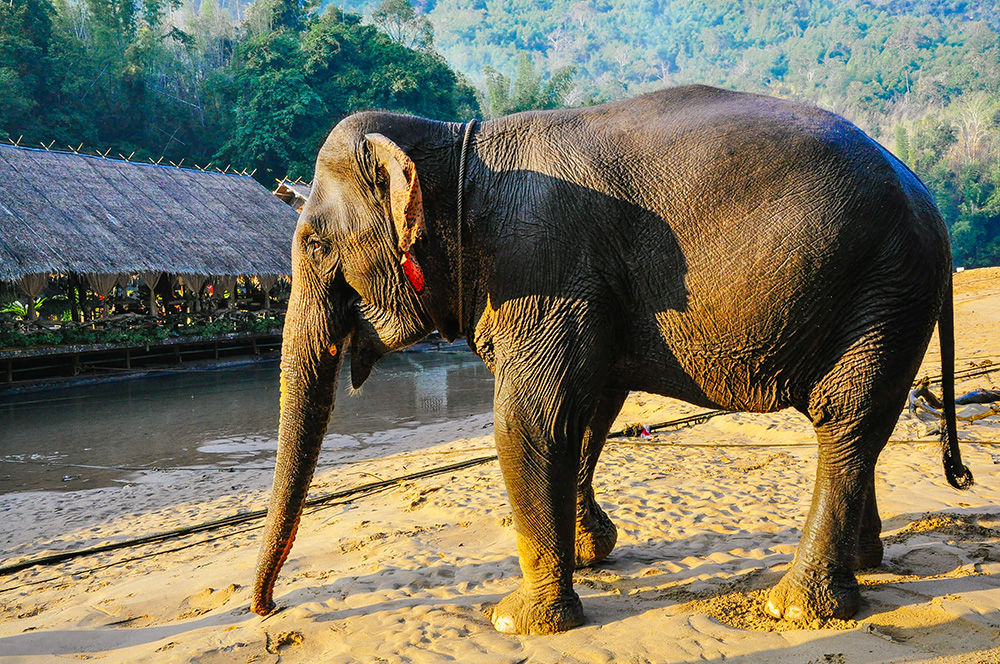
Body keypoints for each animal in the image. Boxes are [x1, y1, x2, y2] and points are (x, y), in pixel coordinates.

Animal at [246, 85, 972, 636]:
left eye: (313, 245)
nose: (267, 610)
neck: (456, 145)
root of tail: (930, 200)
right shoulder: (583, 289)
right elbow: (590, 408)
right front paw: (592, 553)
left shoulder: (544, 265)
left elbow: (530, 421)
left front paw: (519, 621)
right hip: (891, 296)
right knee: (864, 425)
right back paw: (866, 565)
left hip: (885, 287)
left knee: (843, 417)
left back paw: (795, 609)